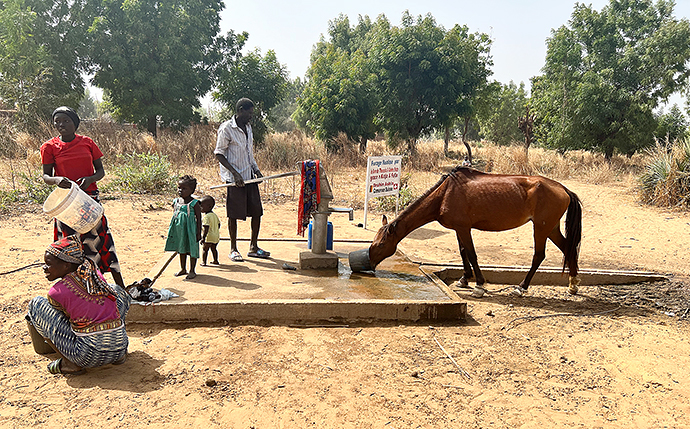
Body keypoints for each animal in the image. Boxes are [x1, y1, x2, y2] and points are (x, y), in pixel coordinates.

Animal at [350, 166, 580, 296]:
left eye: (381, 244)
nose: (369, 261)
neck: (444, 194)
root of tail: (563, 188)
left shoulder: (464, 228)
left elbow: (472, 254)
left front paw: (479, 285)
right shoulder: (458, 229)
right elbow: (463, 253)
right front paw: (464, 279)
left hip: (541, 228)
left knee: (539, 255)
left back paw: (522, 287)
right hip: (551, 228)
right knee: (568, 249)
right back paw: (573, 285)